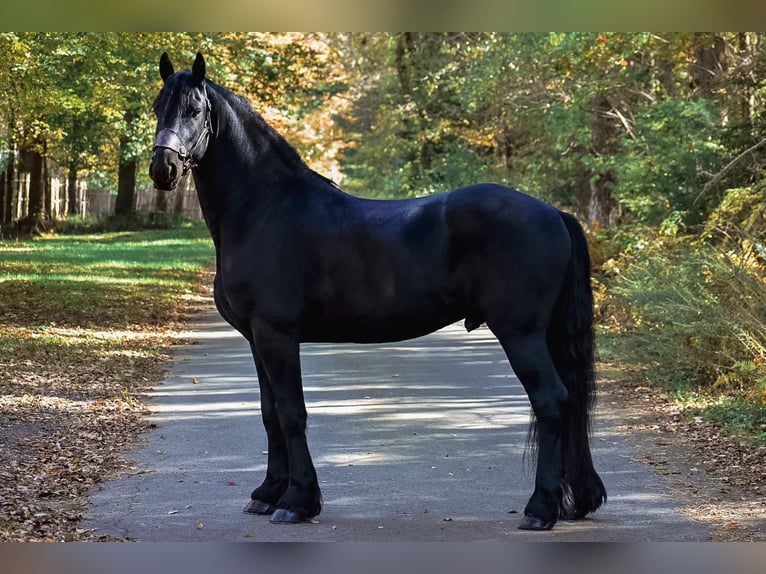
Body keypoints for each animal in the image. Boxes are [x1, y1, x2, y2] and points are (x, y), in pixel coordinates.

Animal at [149, 52, 606, 531]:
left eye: (194, 110)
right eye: (157, 106)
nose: (163, 169)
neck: (265, 210)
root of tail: (554, 213)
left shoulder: (277, 335)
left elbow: (292, 414)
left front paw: (297, 501)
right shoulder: (257, 339)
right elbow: (270, 414)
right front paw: (267, 493)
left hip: (521, 334)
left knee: (552, 402)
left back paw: (541, 508)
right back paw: (575, 501)